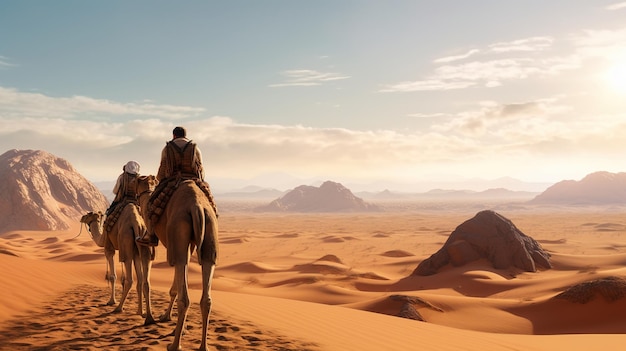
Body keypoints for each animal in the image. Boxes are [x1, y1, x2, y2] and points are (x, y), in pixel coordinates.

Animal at [135, 176, 218, 351]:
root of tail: (197, 207)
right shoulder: (189, 246)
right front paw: (179, 327)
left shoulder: (176, 244)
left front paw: (169, 321)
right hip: (210, 233)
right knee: (206, 297)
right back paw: (203, 346)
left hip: (178, 230)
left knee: (184, 298)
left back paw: (174, 345)